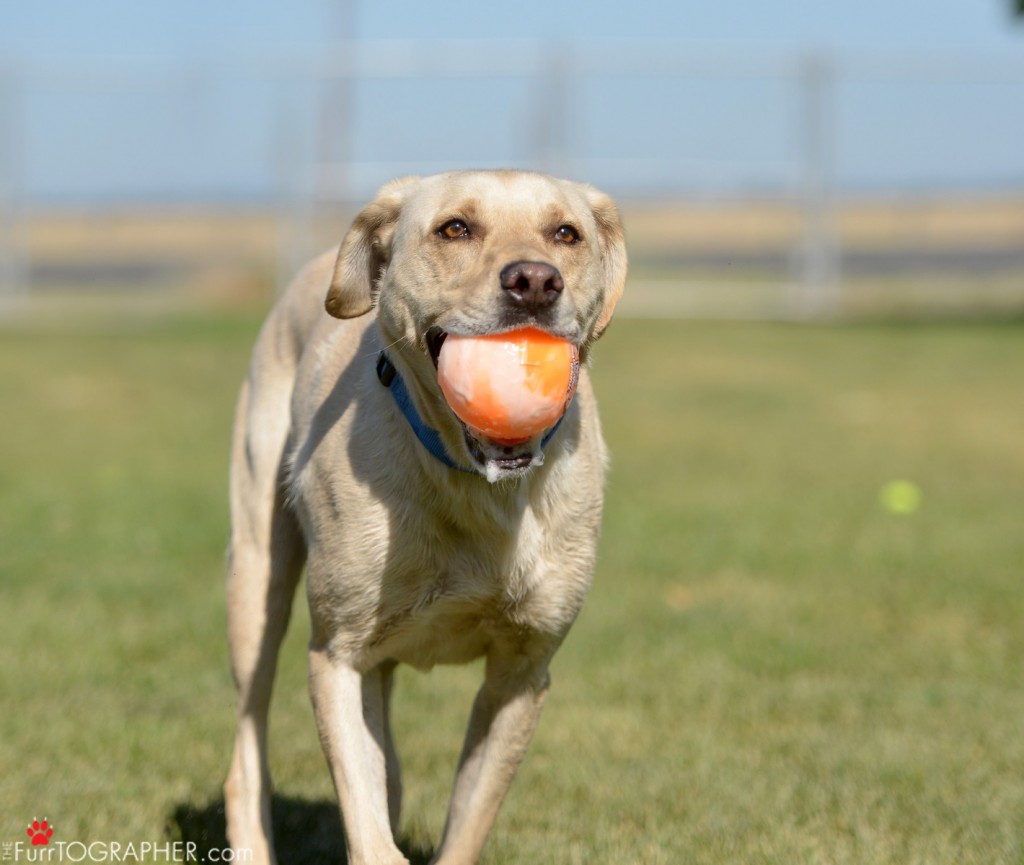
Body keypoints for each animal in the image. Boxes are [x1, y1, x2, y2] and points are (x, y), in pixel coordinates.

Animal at [224, 169, 622, 863]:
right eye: (454, 229)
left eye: (566, 233)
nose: (535, 281)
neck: (476, 490)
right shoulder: (337, 656)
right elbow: (369, 830)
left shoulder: (522, 673)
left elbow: (465, 821)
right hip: (257, 582)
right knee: (249, 746)